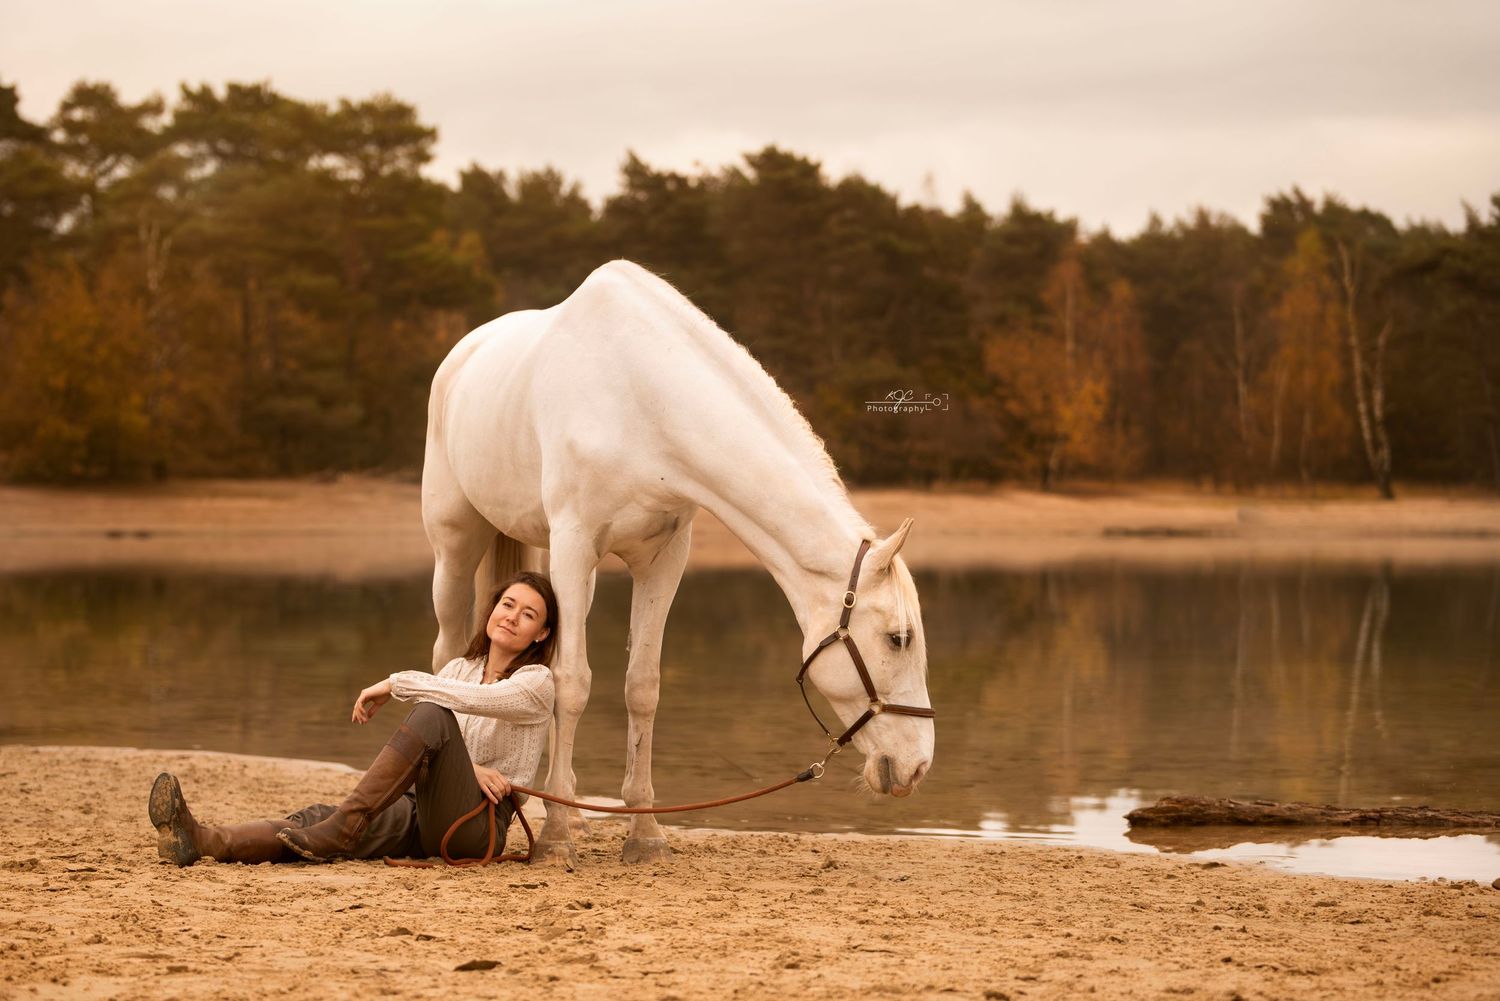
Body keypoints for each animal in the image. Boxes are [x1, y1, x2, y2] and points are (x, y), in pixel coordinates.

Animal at [421, 260, 935, 865]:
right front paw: (556, 838)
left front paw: (644, 835)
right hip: (457, 547)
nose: (918, 766)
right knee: (449, 651)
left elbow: (641, 687)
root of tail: (462, 354)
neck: (641, 400)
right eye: (899, 638)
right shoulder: (575, 544)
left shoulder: (662, 560)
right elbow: (571, 683)